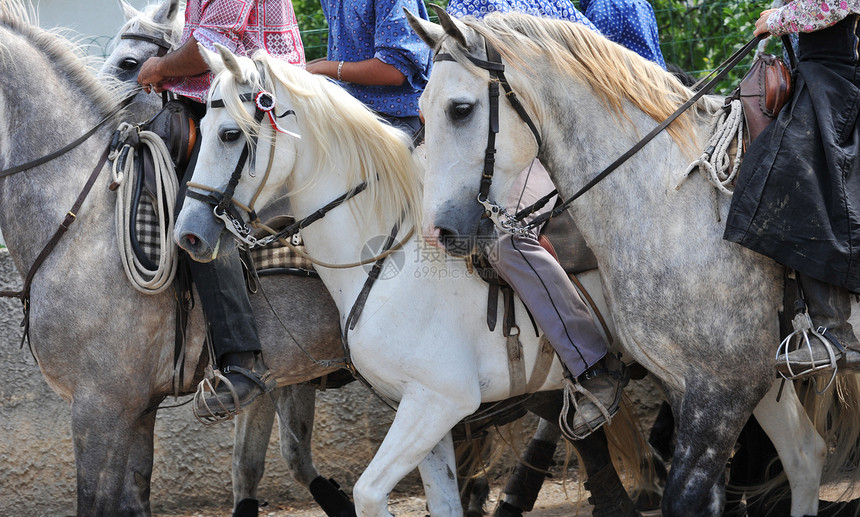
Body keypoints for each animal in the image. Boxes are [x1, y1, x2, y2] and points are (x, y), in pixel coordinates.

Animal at [408, 7, 860, 516]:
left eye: (460, 109)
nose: (441, 232)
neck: (670, 195)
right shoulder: (692, 385)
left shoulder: (725, 390)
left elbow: (682, 498)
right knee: (805, 455)